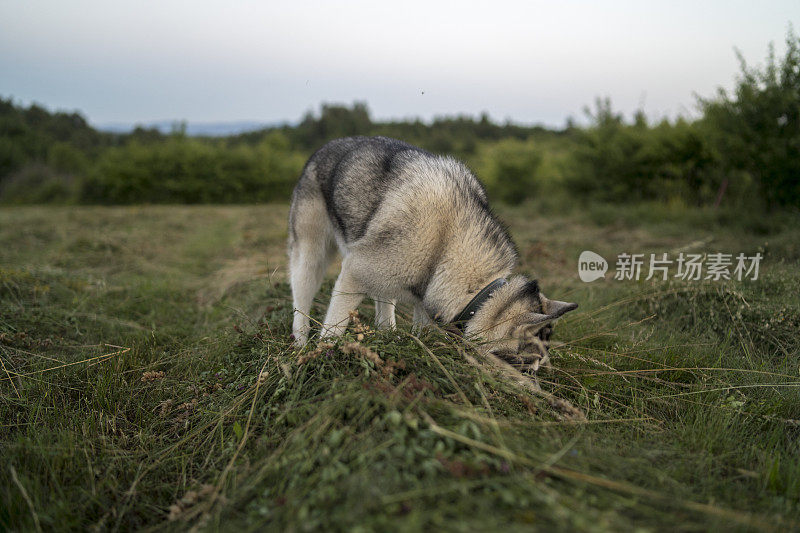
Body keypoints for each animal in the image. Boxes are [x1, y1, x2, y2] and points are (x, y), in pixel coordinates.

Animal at [288, 135, 576, 372]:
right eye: (524, 364)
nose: (536, 387)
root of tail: (326, 146)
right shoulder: (353, 274)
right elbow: (334, 328)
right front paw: (323, 357)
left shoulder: (425, 301)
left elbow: (420, 330)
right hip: (311, 258)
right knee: (301, 301)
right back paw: (300, 345)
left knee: (384, 305)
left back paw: (387, 335)